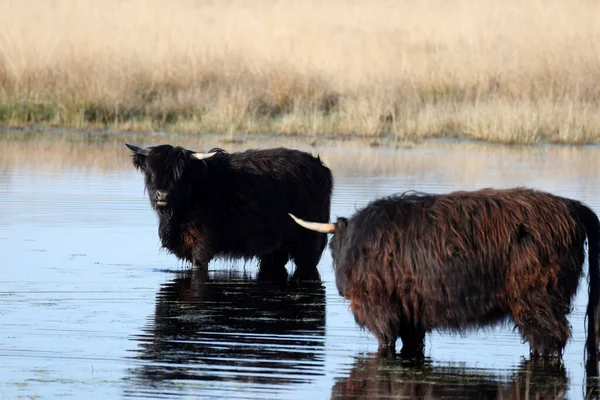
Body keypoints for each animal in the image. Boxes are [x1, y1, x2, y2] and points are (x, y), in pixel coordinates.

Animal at [127, 142, 332, 280]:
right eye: (151, 171)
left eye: (180, 174)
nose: (162, 194)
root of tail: (319, 166)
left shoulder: (202, 245)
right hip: (276, 248)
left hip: (309, 241)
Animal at [290, 189, 600, 368]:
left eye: (334, 251)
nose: (342, 288)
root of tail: (571, 206)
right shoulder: (411, 311)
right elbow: (411, 345)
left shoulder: (381, 306)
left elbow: (386, 341)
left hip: (537, 297)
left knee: (550, 338)